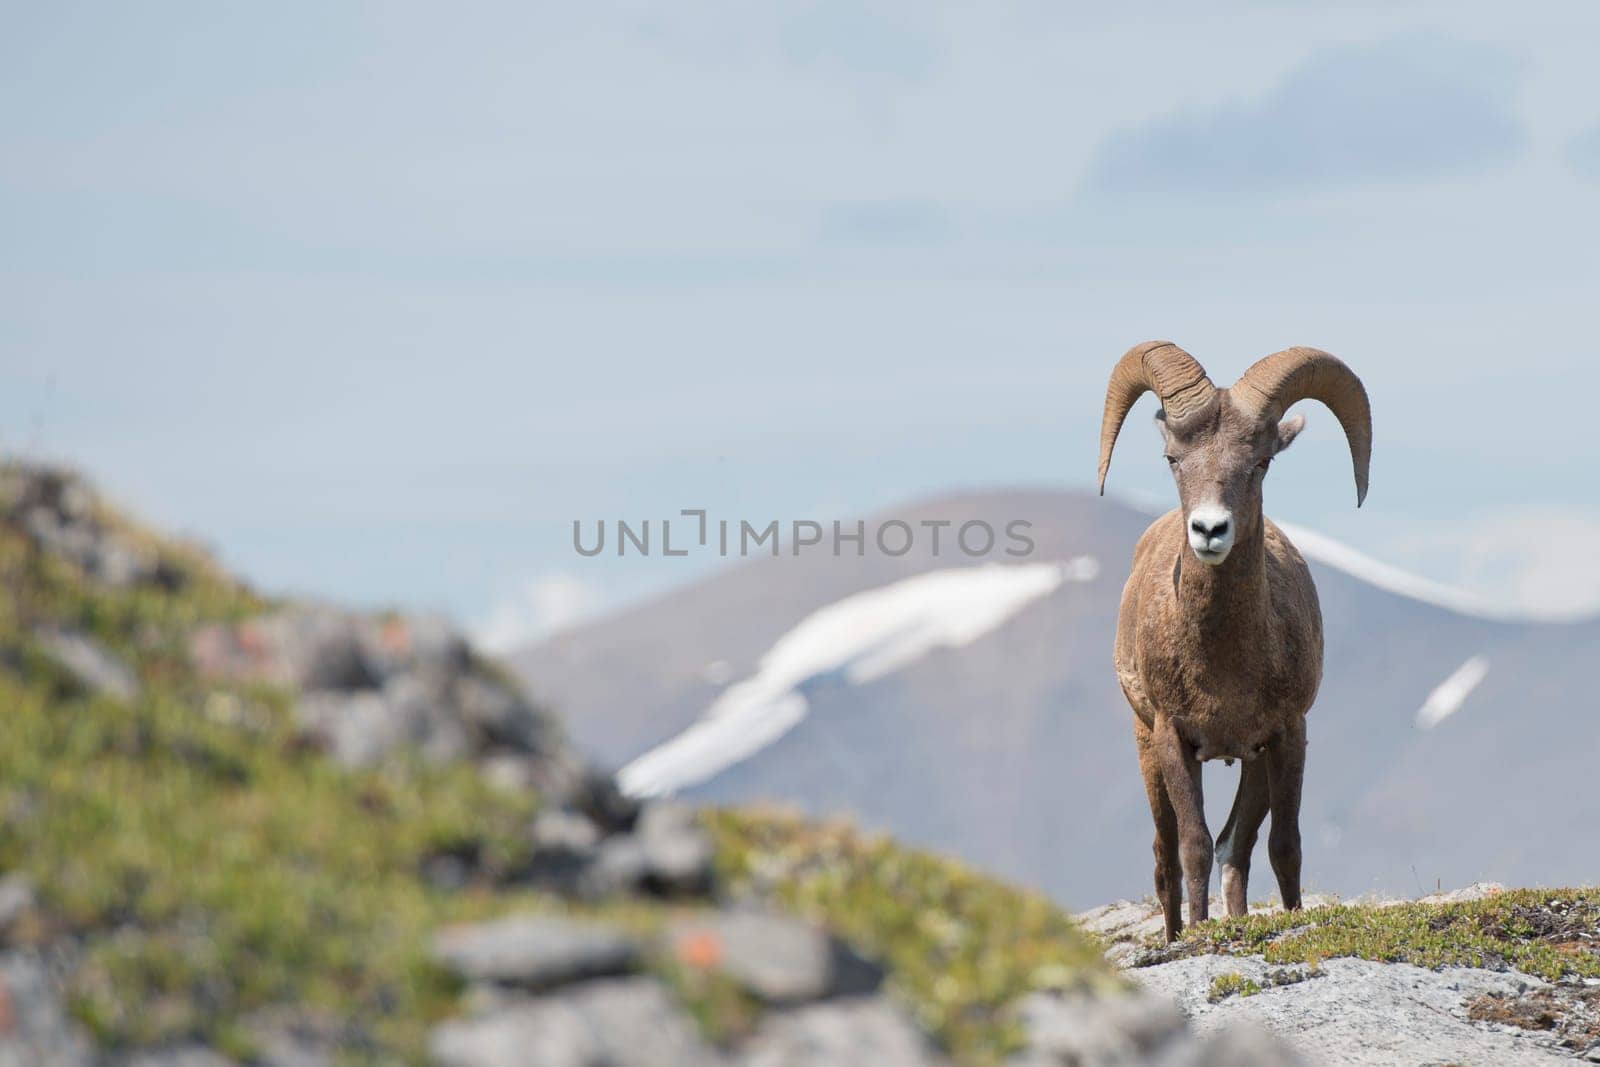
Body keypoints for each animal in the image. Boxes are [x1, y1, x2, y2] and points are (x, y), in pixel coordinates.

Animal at [1100, 343, 1376, 940]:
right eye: (1174, 459)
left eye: (1261, 463)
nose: (1209, 531)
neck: (1224, 665)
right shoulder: (1172, 737)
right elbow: (1194, 847)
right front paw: (1196, 936)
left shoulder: (1286, 735)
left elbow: (1283, 847)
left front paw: (1292, 920)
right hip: (1146, 748)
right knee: (1167, 858)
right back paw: (1176, 934)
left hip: (1251, 763)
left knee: (1238, 848)